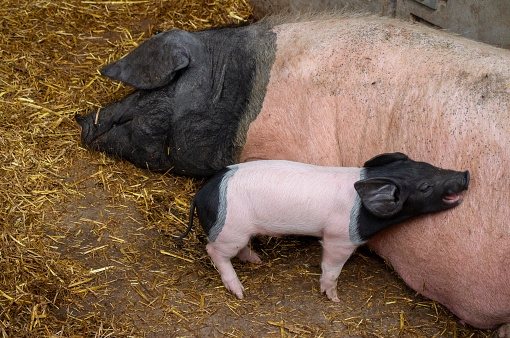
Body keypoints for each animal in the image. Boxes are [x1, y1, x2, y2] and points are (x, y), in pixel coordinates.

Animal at [177, 154, 468, 302]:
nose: (465, 174)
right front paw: (334, 299)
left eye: (429, 165)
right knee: (213, 251)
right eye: (425, 187)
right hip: (230, 230)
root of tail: (200, 194)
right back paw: (239, 292)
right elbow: (331, 268)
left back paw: (257, 260)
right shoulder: (339, 238)